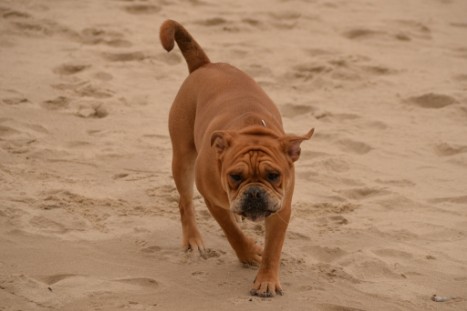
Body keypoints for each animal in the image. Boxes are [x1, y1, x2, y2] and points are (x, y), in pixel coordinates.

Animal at [161, 19, 314, 298]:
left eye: (274, 175)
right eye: (235, 176)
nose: (253, 191)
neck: (251, 131)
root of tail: (205, 65)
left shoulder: (282, 208)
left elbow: (273, 248)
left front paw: (266, 279)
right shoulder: (213, 199)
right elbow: (231, 232)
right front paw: (248, 253)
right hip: (183, 158)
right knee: (185, 202)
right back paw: (193, 239)